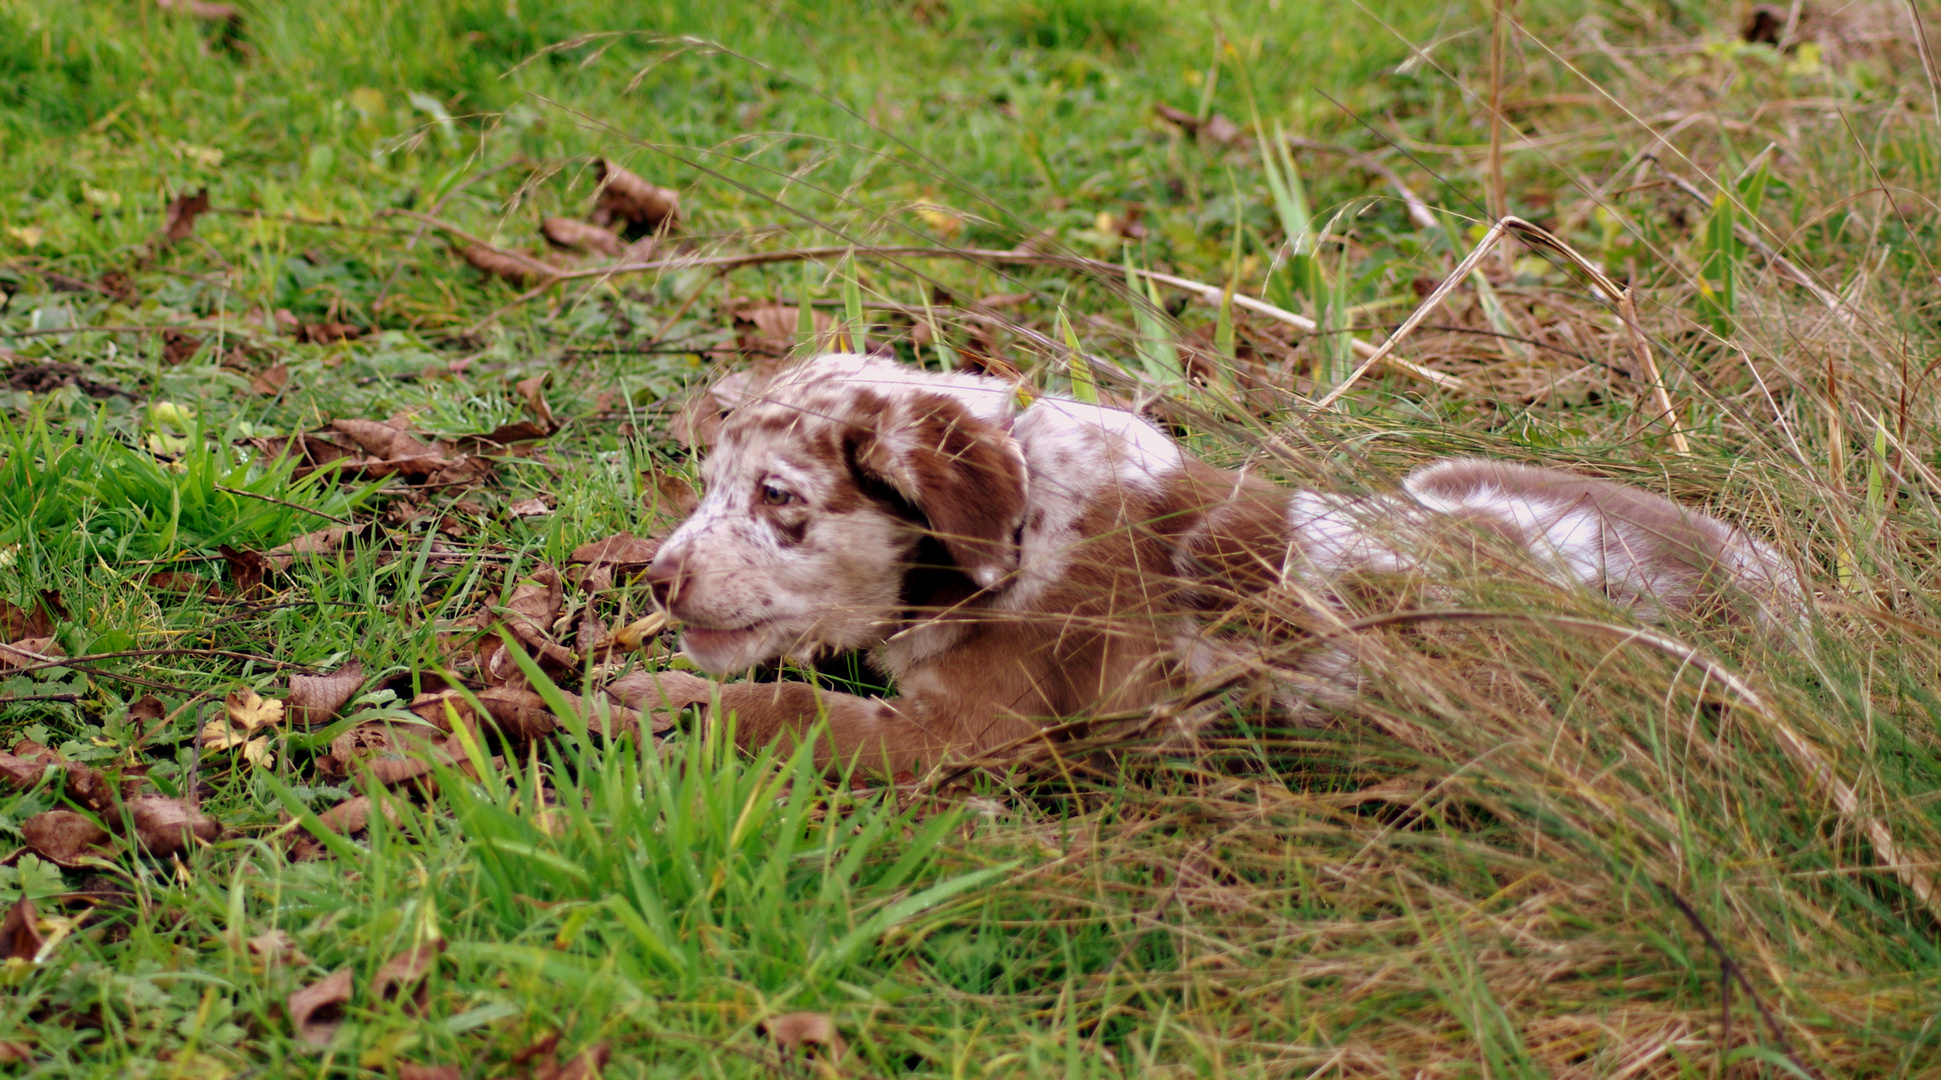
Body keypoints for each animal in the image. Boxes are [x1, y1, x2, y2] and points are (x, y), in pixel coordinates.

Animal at [621, 353, 1801, 769]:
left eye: (777, 498)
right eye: (711, 481)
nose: (656, 579)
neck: (1030, 518)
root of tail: (1771, 584)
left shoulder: (968, 733)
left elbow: (788, 710)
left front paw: (652, 700)